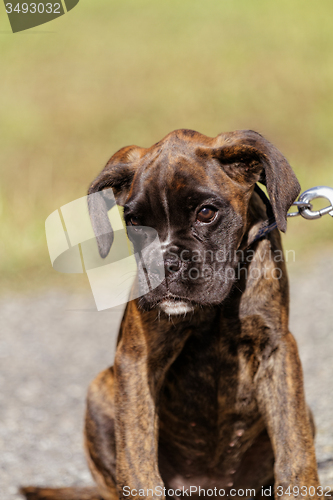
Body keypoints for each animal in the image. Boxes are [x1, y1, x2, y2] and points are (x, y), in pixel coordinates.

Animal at [20, 130, 322, 500]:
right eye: (135, 221)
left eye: (206, 213)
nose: (162, 264)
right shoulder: (138, 359)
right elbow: (137, 459)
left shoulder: (276, 350)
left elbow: (294, 448)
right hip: (100, 390)